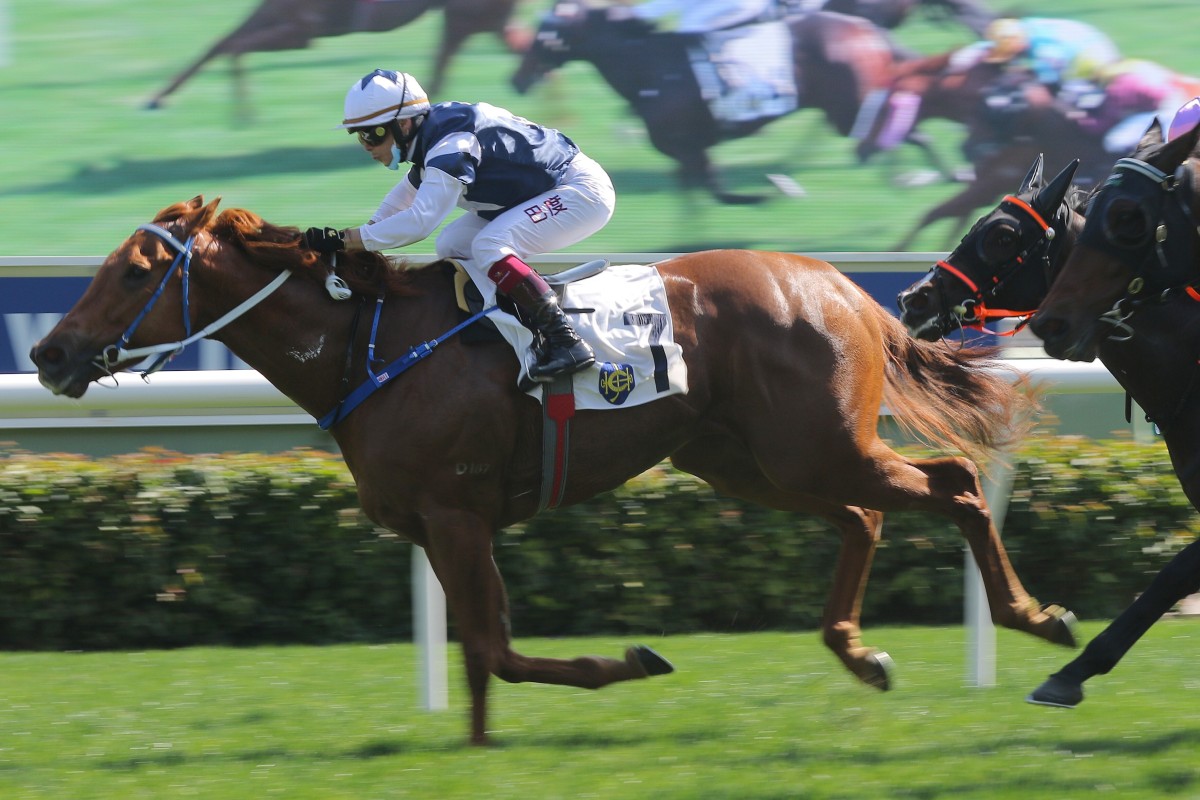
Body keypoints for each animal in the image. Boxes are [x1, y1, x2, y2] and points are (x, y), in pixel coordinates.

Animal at [30, 196, 1080, 748]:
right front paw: (478, 744)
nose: (48, 354)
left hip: (815, 446)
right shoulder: (439, 527)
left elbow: (495, 648)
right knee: (868, 518)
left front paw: (630, 660)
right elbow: (476, 649)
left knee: (953, 484)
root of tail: (840, 286)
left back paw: (1037, 618)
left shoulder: (458, 514)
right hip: (744, 459)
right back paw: (861, 653)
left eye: (135, 271)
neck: (368, 346)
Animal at [144, 0, 516, 113]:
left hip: (466, 14)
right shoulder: (275, 12)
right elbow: (219, 44)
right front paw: (156, 98)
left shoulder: (302, 31)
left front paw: (243, 114)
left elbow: (234, 47)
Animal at [511, 6, 902, 205]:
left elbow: (714, 190)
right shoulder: (687, 151)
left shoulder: (685, 146)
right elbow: (704, 190)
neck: (650, 66)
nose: (517, 79)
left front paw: (773, 190)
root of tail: (868, 29)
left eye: (545, 33)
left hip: (848, 109)